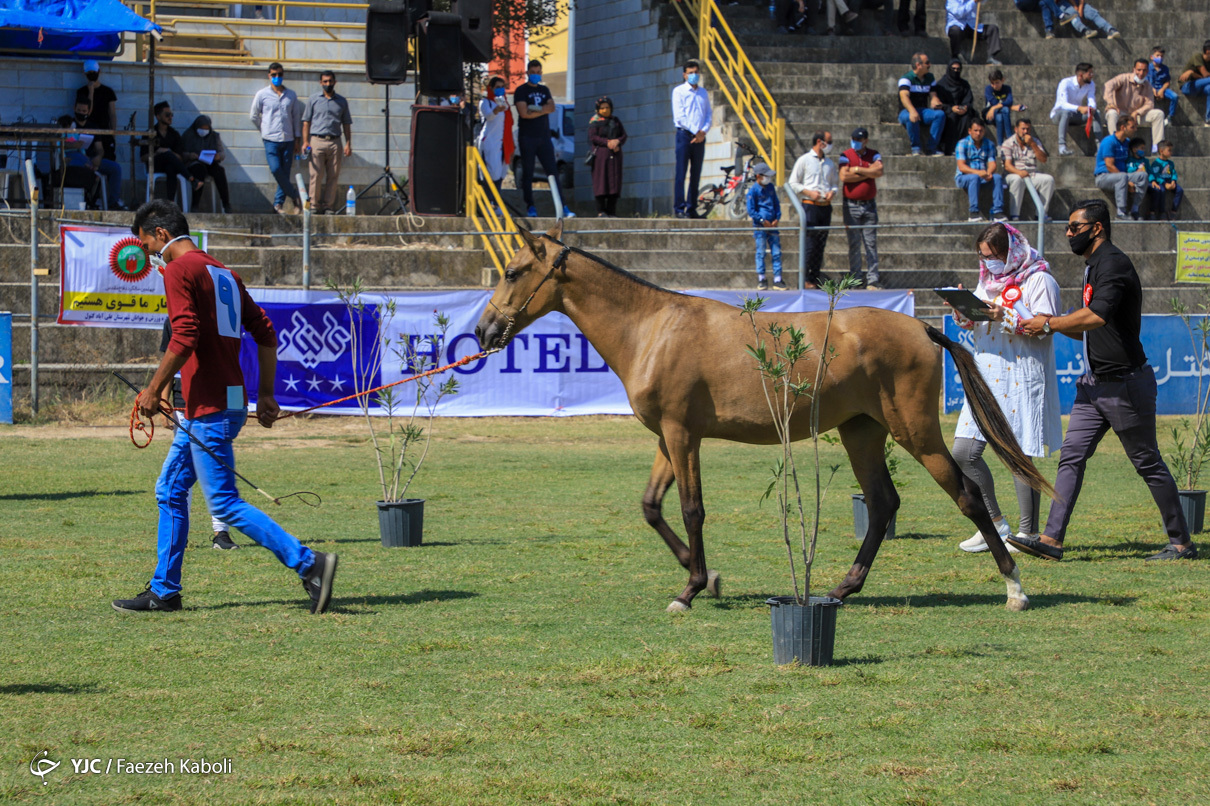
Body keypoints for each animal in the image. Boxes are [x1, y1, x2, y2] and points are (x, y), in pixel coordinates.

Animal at [471, 220, 1050, 609]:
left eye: (513, 271)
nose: (482, 331)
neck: (653, 327)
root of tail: (923, 329)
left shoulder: (682, 435)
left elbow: (692, 510)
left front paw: (690, 589)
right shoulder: (667, 438)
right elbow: (652, 507)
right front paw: (706, 577)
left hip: (916, 432)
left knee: (966, 494)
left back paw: (1014, 588)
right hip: (861, 433)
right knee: (884, 504)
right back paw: (843, 588)